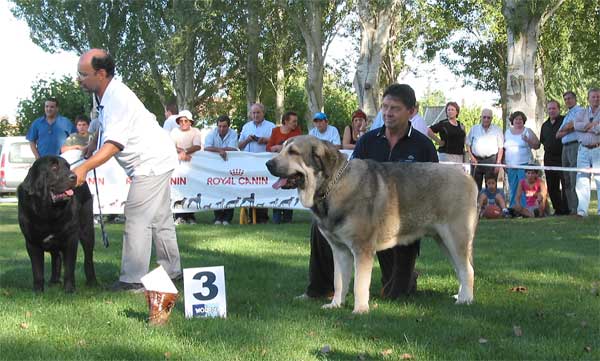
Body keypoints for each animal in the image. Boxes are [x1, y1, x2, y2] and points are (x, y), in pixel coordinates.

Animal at [17, 156, 96, 292]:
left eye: (68, 167)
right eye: (54, 167)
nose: (74, 176)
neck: (47, 213)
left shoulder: (71, 239)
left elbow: (69, 268)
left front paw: (69, 290)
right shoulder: (32, 242)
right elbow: (37, 270)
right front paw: (38, 292)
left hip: (87, 230)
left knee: (88, 257)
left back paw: (93, 282)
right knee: (56, 257)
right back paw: (54, 281)